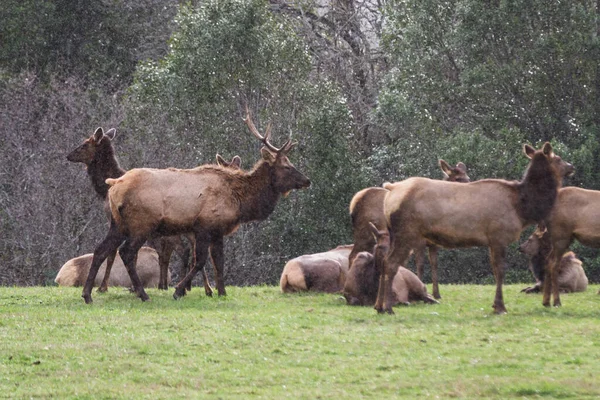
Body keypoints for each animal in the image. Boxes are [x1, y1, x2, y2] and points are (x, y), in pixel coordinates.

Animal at [80, 107, 312, 304]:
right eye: (286, 166)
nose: (307, 180)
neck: (240, 201)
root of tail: (113, 185)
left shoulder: (218, 230)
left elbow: (219, 261)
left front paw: (221, 292)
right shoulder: (203, 226)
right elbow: (200, 261)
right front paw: (178, 290)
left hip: (117, 224)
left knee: (100, 250)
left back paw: (87, 294)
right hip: (141, 224)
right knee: (127, 253)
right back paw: (143, 294)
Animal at [378, 144, 576, 316]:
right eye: (558, 158)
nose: (571, 166)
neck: (522, 208)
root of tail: (391, 190)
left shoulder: (491, 240)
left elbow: (495, 271)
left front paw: (495, 305)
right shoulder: (498, 236)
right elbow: (500, 271)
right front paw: (500, 307)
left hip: (393, 234)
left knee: (384, 260)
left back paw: (378, 307)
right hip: (406, 233)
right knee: (392, 264)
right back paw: (388, 308)